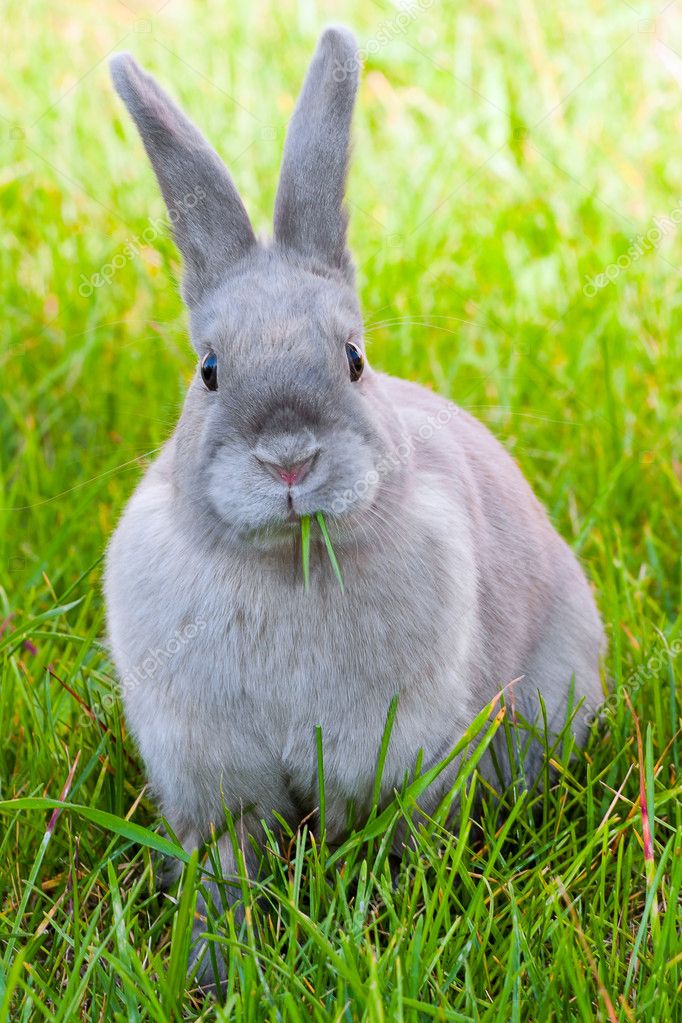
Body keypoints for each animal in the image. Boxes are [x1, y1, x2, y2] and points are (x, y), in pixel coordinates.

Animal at [104, 24, 605, 986]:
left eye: (353, 359)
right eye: (209, 370)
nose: (289, 459)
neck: (291, 563)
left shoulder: (399, 753)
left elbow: (389, 843)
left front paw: (380, 926)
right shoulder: (214, 781)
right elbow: (229, 869)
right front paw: (214, 968)